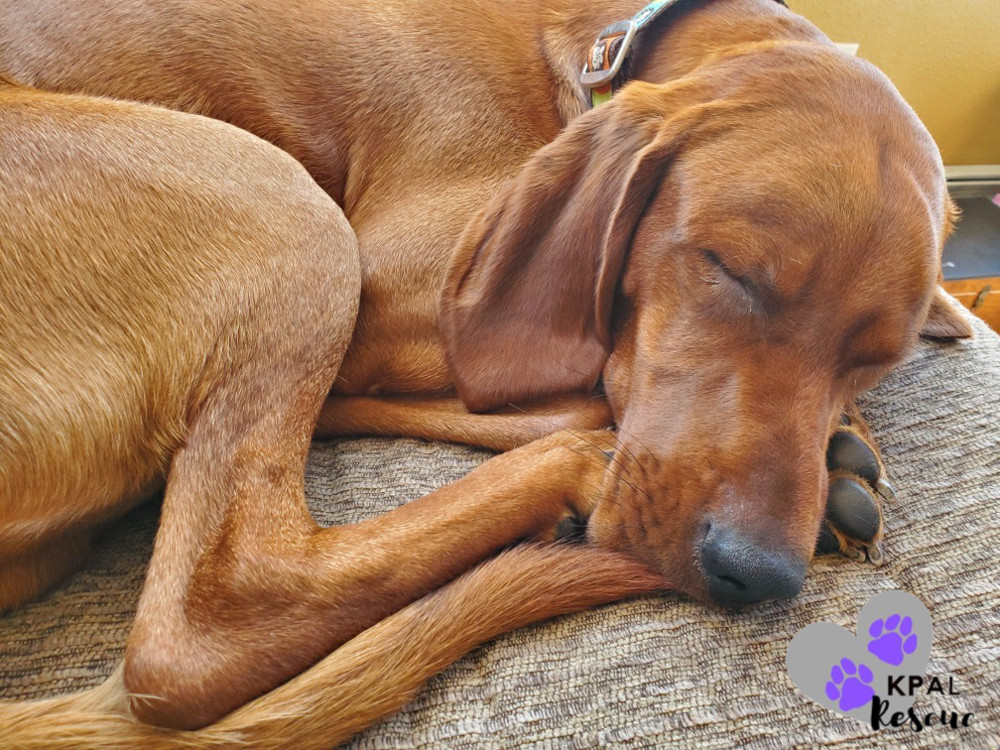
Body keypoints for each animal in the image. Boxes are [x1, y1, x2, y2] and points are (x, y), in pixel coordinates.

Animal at [0, 0, 968, 748]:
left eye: (876, 359)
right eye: (729, 270)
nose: (756, 573)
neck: (594, 52)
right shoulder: (397, 284)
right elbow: (558, 369)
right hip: (289, 206)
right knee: (209, 623)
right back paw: (582, 468)